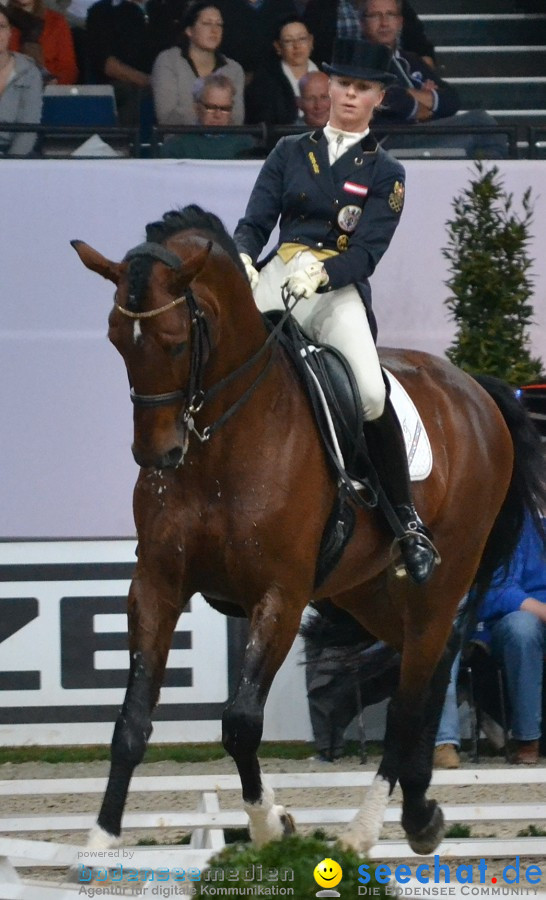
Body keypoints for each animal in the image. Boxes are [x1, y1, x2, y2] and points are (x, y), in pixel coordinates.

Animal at [72, 206, 544, 856]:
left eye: (175, 342)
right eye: (118, 338)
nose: (158, 456)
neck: (223, 437)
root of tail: (477, 389)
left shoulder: (281, 595)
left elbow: (241, 722)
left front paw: (269, 825)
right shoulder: (157, 584)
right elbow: (132, 720)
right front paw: (99, 841)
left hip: (441, 578)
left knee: (413, 691)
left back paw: (369, 829)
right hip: (368, 590)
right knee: (427, 668)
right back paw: (420, 809)